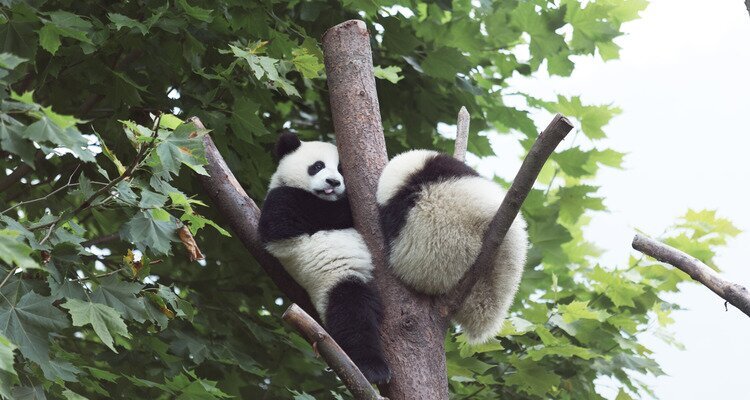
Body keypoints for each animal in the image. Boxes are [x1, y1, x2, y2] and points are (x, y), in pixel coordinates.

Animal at [258, 133, 390, 384]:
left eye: (341, 169)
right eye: (318, 166)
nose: (333, 182)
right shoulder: (281, 200)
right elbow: (285, 223)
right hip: (334, 280)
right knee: (352, 313)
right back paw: (372, 369)